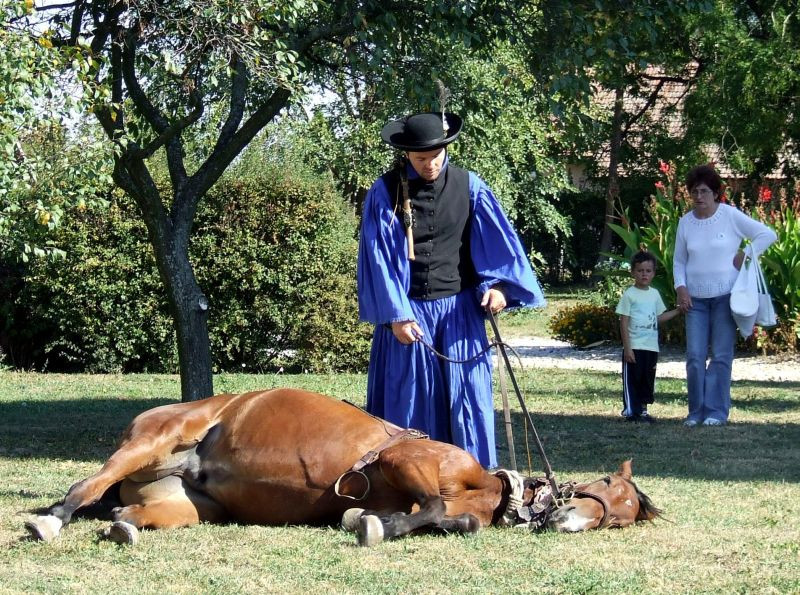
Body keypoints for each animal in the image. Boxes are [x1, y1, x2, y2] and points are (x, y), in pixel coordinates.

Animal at [26, 388, 664, 548]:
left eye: (622, 516)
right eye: (609, 486)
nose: (572, 520)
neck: (485, 484)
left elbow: (451, 519)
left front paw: (366, 521)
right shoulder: (404, 460)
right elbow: (434, 506)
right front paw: (374, 526)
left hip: (188, 506)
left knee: (132, 514)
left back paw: (124, 527)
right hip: (149, 443)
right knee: (83, 487)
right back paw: (51, 518)